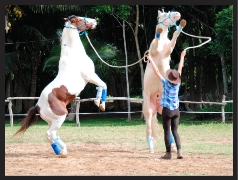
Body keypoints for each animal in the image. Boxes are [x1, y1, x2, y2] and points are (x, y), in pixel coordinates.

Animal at [14, 15, 107, 158]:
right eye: (80, 19)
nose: (95, 21)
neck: (74, 54)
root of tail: (38, 106)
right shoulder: (90, 76)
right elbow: (103, 85)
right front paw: (100, 104)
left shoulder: (92, 77)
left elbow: (100, 87)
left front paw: (98, 103)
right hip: (60, 117)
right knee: (50, 134)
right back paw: (63, 152)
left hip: (51, 121)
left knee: (50, 135)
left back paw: (60, 151)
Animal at [142, 9, 187, 153]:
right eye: (164, 14)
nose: (177, 14)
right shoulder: (154, 50)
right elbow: (156, 39)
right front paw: (159, 30)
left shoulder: (168, 51)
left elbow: (174, 39)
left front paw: (179, 28)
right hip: (148, 109)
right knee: (149, 125)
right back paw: (150, 147)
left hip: (162, 110)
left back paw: (172, 146)